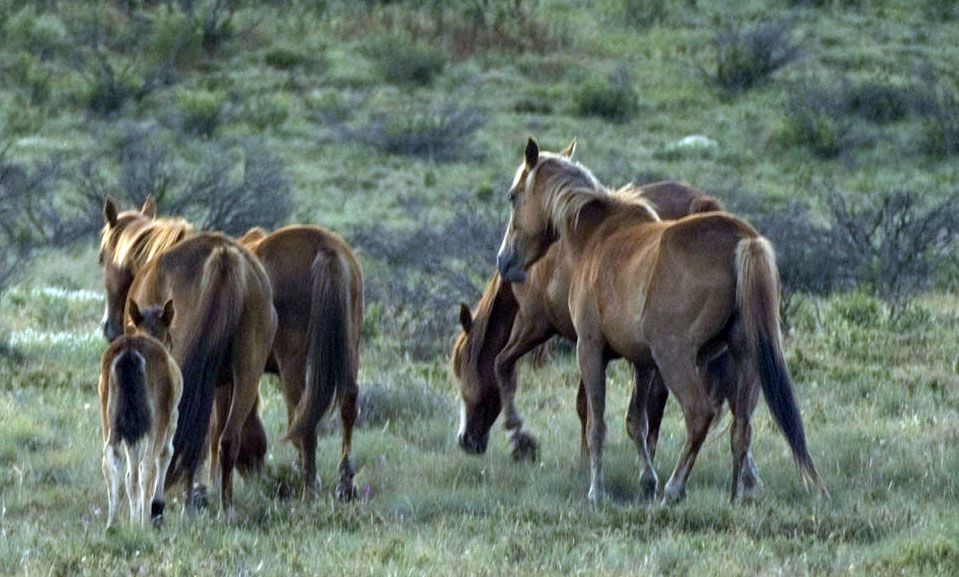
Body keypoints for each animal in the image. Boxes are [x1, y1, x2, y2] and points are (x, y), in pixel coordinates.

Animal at [100, 296, 183, 528]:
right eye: (170, 336)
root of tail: (130, 350)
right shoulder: (171, 419)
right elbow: (166, 454)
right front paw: (154, 510)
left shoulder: (131, 431)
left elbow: (131, 474)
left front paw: (134, 518)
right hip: (158, 423)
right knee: (149, 464)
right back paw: (144, 524)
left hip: (110, 420)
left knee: (111, 458)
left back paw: (112, 524)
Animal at [239, 225, 364, 500]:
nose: (252, 473)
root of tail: (325, 247)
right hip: (351, 350)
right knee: (346, 405)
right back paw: (344, 483)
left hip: (293, 364)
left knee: (304, 420)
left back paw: (308, 488)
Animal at [496, 137, 824, 502]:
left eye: (513, 196)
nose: (504, 261)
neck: (596, 237)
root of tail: (744, 239)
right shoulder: (642, 363)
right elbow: (635, 423)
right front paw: (646, 479)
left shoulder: (591, 350)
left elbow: (597, 424)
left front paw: (597, 490)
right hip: (745, 355)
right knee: (741, 428)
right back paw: (736, 495)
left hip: (675, 357)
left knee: (699, 415)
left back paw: (675, 488)